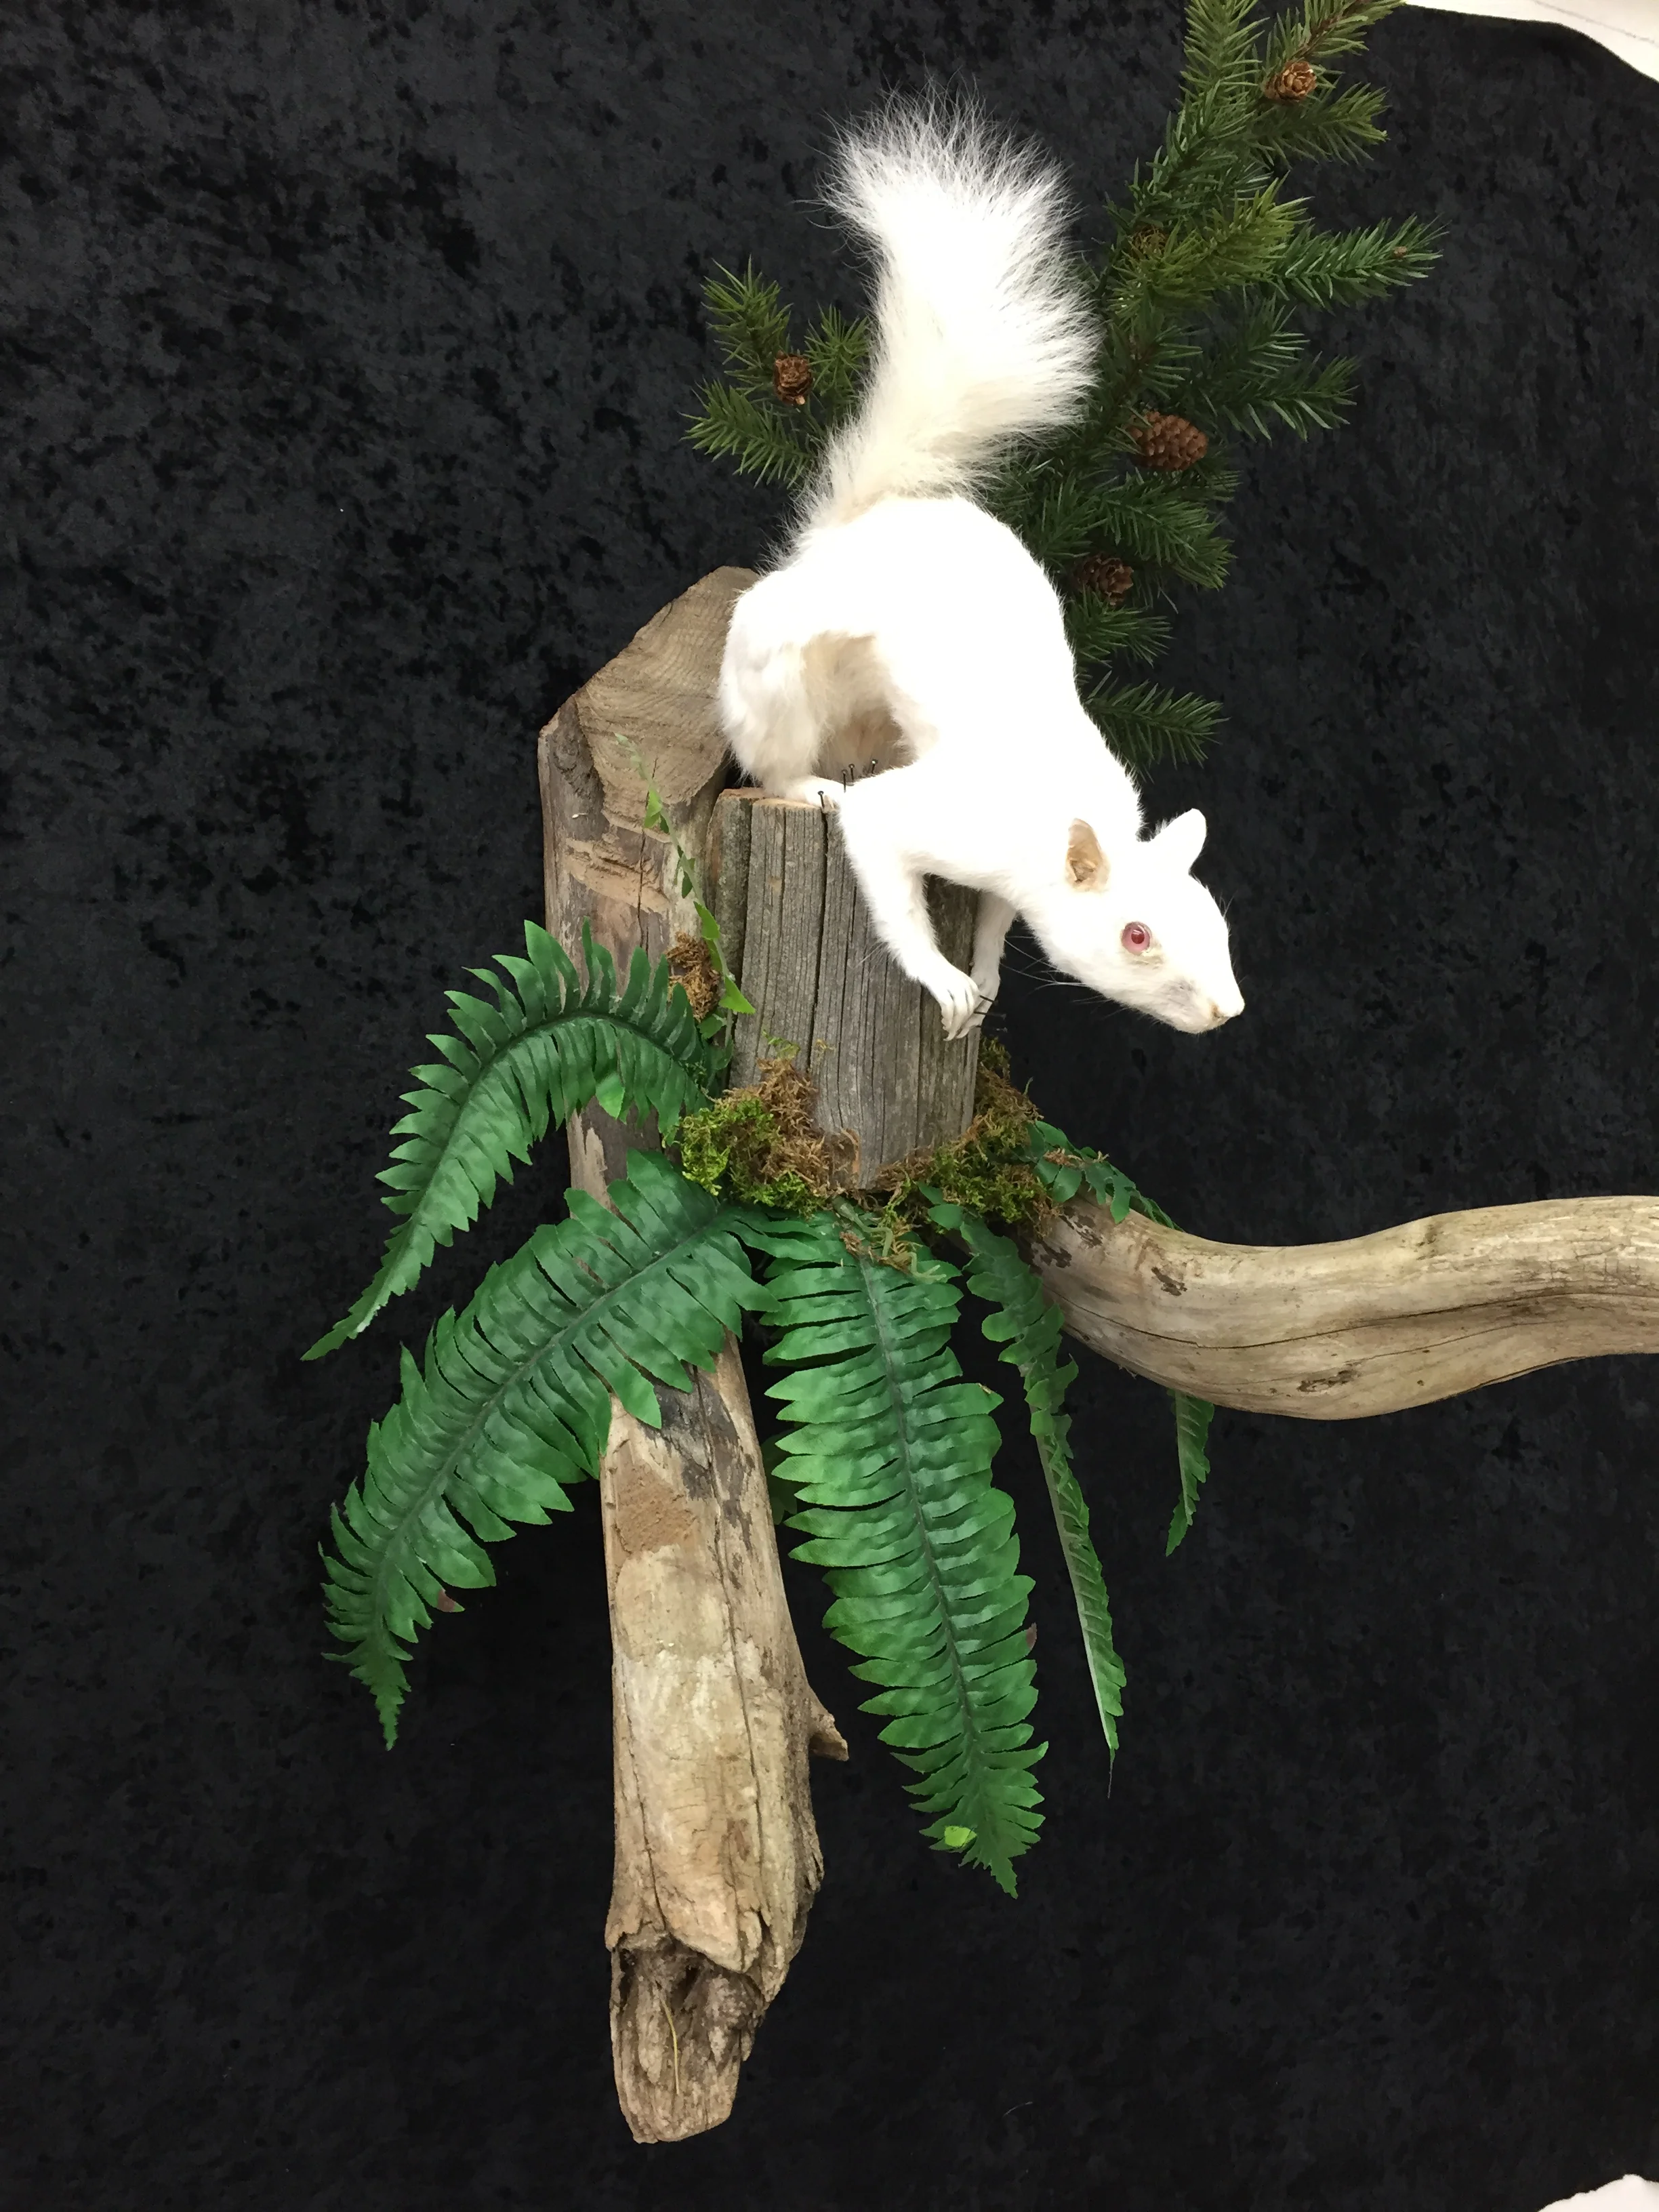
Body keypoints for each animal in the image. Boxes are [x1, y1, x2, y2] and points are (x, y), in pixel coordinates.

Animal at [717, 101, 1245, 1041]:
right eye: (1136, 935)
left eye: (1215, 919)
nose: (1229, 1010)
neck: (1053, 825)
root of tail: (864, 525)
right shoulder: (936, 820)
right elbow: (886, 871)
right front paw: (946, 982)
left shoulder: (1013, 883)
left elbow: (1001, 920)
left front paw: (991, 971)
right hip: (777, 675)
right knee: (780, 759)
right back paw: (809, 786)